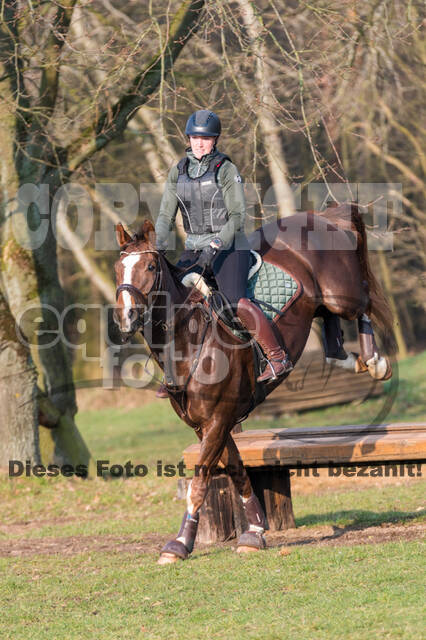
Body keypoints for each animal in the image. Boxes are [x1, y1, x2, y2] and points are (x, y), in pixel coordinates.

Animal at [112, 202, 392, 564]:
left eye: (149, 266)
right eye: (117, 268)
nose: (126, 317)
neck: (188, 340)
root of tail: (324, 214)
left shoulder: (218, 420)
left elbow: (200, 480)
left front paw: (180, 543)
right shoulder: (207, 426)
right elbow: (237, 471)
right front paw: (256, 530)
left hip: (339, 294)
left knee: (363, 300)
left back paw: (376, 361)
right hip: (320, 303)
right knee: (332, 323)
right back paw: (347, 357)